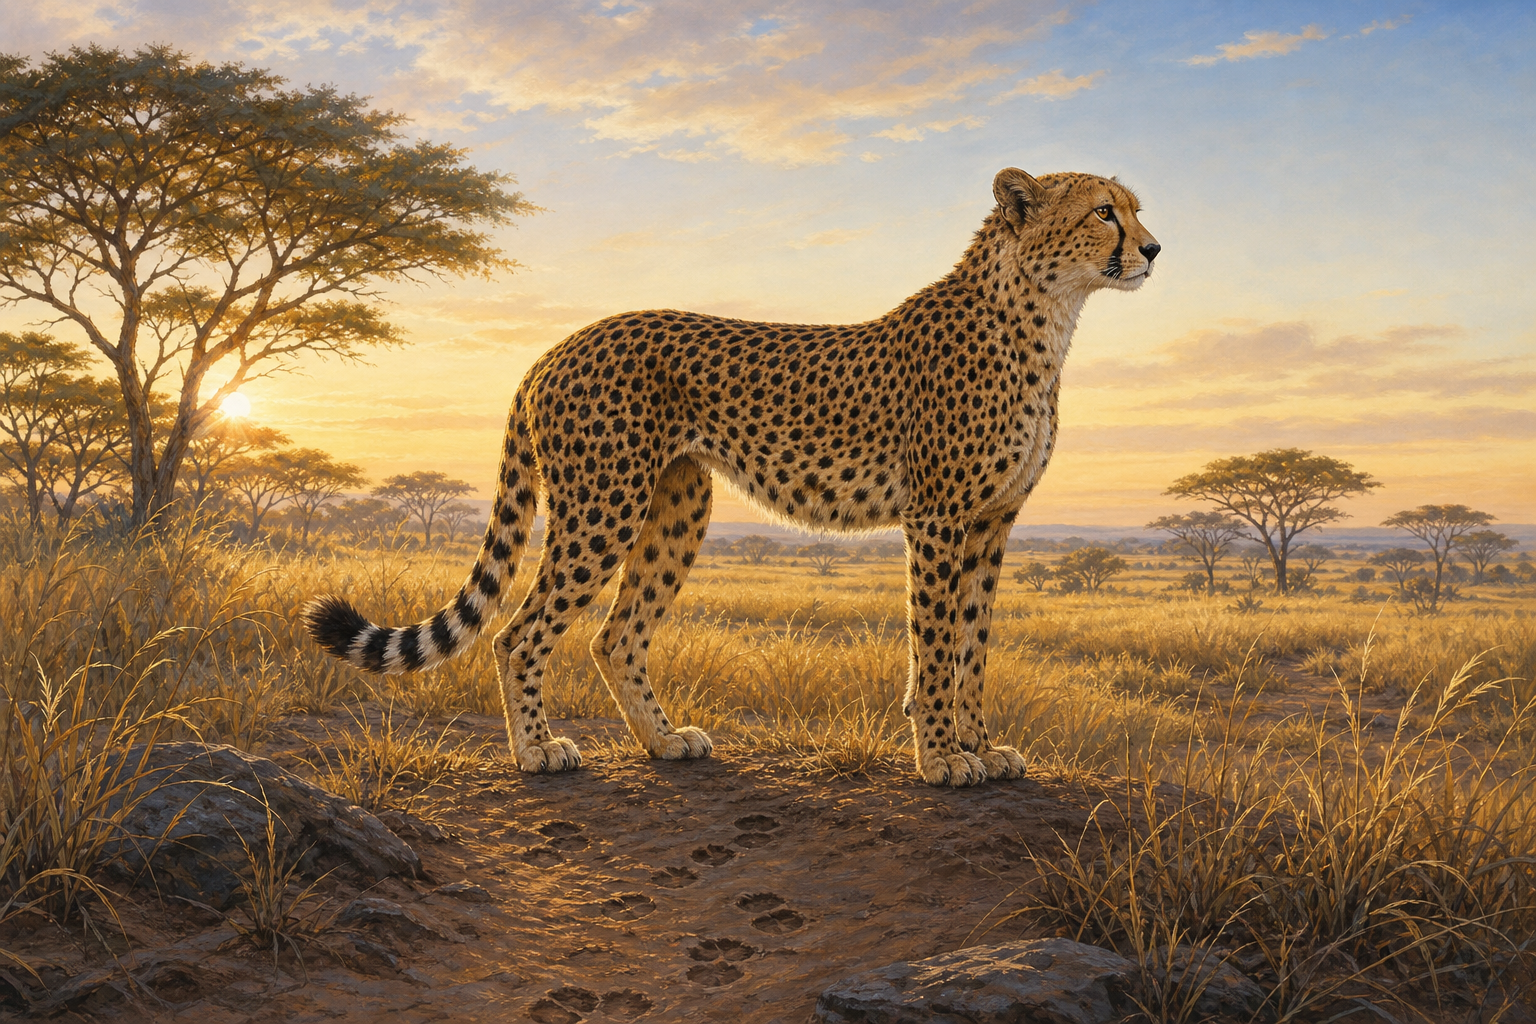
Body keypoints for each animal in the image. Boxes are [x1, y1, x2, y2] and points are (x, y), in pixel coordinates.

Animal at [302, 167, 1160, 788]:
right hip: (603, 504)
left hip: (677, 504)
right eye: (1104, 212)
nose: (1153, 250)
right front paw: (944, 757)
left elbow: (974, 645)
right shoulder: (940, 519)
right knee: (520, 633)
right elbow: (938, 641)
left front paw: (984, 746)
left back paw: (663, 742)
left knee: (616, 636)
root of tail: (559, 345)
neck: (1043, 317)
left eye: (1135, 208)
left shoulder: (991, 523)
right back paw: (537, 752)